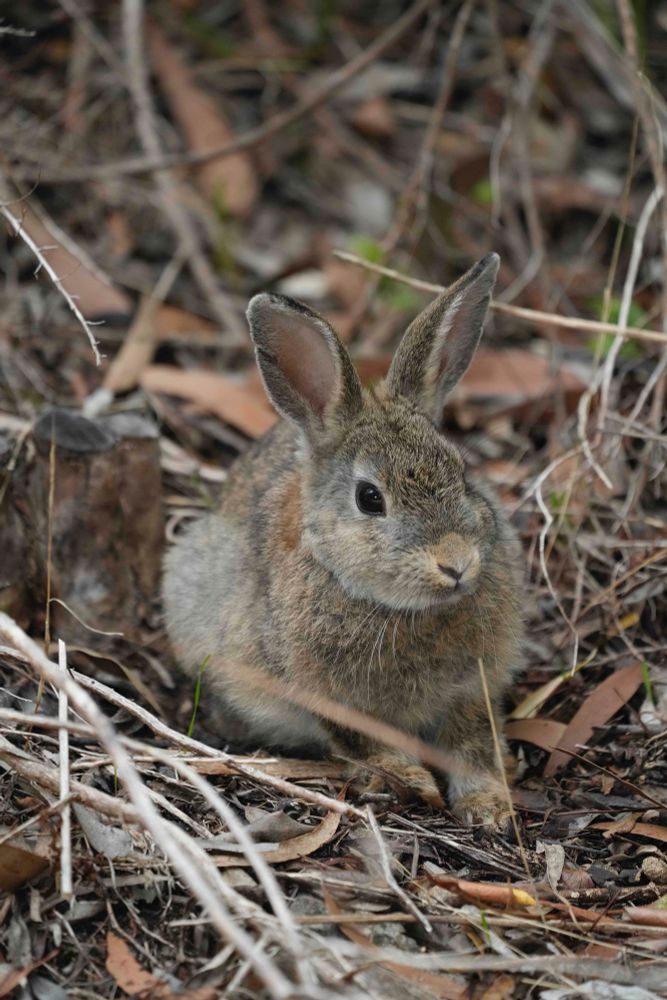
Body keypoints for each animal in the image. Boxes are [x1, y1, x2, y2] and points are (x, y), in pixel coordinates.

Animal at [163, 253, 524, 829]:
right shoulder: (321, 695)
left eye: (462, 473)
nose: (456, 564)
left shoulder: (473, 691)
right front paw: (412, 781)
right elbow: (362, 740)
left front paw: (487, 806)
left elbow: (472, 745)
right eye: (369, 498)